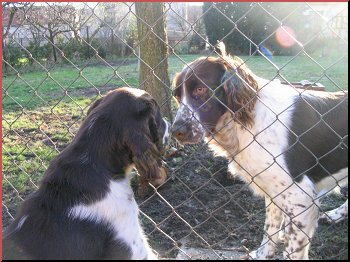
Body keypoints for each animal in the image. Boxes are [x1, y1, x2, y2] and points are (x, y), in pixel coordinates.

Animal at [172, 44, 348, 258]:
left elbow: (292, 250)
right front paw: (263, 254)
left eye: (200, 89)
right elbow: (269, 232)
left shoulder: (300, 196)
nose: (176, 131)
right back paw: (335, 215)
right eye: (177, 95)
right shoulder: (274, 191)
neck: (245, 123)